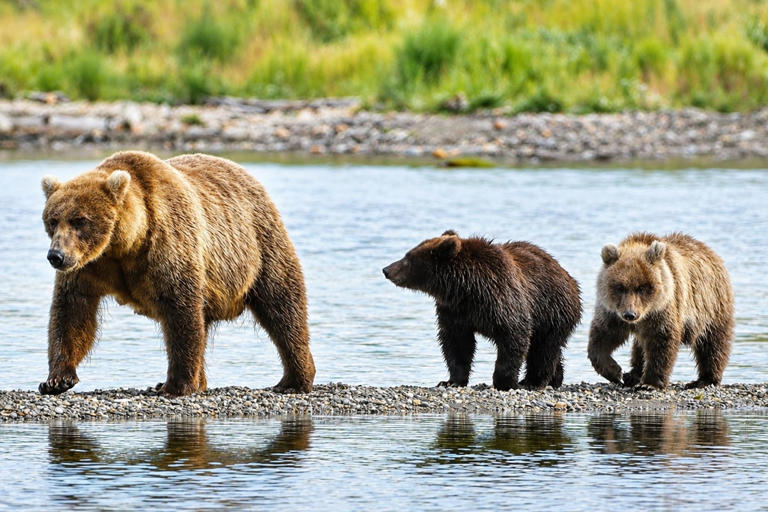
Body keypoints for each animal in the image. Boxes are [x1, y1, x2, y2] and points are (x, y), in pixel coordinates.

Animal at [39, 151, 315, 396]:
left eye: (79, 220)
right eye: (52, 220)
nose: (56, 256)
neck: (124, 245)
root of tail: (246, 174)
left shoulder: (168, 244)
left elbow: (181, 312)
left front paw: (176, 386)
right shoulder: (88, 267)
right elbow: (72, 312)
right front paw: (56, 380)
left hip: (258, 244)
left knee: (282, 306)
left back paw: (293, 380)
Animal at [383, 231, 582, 391]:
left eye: (408, 258)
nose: (386, 269)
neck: (465, 288)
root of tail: (567, 275)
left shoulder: (502, 300)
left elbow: (514, 335)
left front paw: (504, 382)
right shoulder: (454, 311)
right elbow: (457, 344)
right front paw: (451, 381)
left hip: (552, 310)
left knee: (544, 348)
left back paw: (533, 381)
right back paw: (555, 379)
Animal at [587, 232, 734, 390]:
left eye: (642, 288)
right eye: (620, 287)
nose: (630, 314)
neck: (645, 314)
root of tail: (710, 251)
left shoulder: (664, 308)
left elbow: (661, 340)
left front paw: (649, 383)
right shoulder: (612, 312)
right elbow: (604, 336)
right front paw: (615, 372)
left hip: (711, 305)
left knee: (713, 343)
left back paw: (705, 380)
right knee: (639, 346)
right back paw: (632, 375)